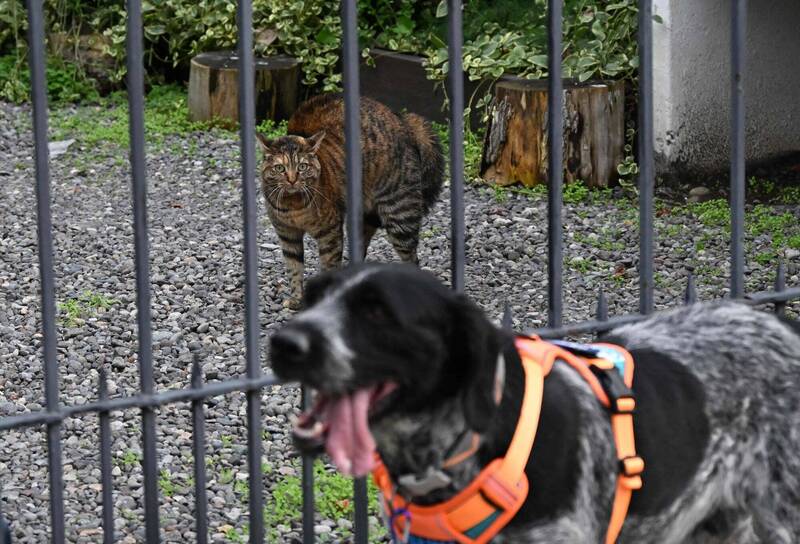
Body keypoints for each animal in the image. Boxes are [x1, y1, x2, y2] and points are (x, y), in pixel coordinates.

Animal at [260, 91, 444, 308]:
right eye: (280, 168)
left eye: (302, 167)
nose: (292, 179)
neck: (294, 205)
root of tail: (403, 121)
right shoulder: (287, 235)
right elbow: (293, 268)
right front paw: (296, 298)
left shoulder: (330, 232)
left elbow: (329, 264)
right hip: (363, 218)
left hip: (400, 217)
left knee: (412, 259)